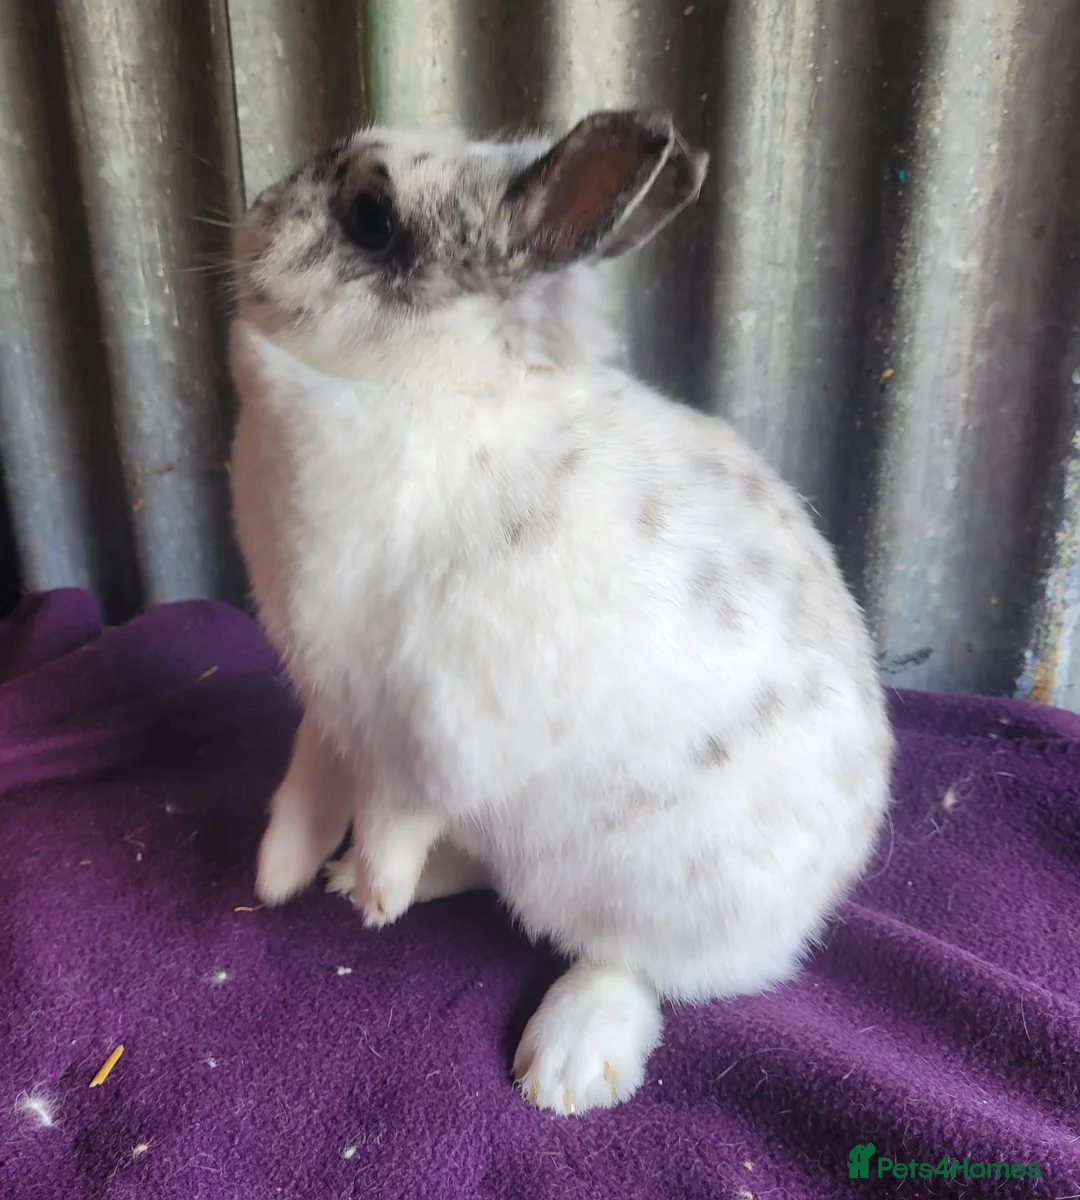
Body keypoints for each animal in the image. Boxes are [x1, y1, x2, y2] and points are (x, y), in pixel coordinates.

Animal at [227, 109, 893, 1116]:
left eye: (372, 217)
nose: (254, 217)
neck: (424, 390)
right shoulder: (332, 700)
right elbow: (312, 775)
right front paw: (285, 874)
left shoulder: (433, 725)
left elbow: (398, 808)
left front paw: (376, 894)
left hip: (655, 895)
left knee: (630, 963)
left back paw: (567, 1064)